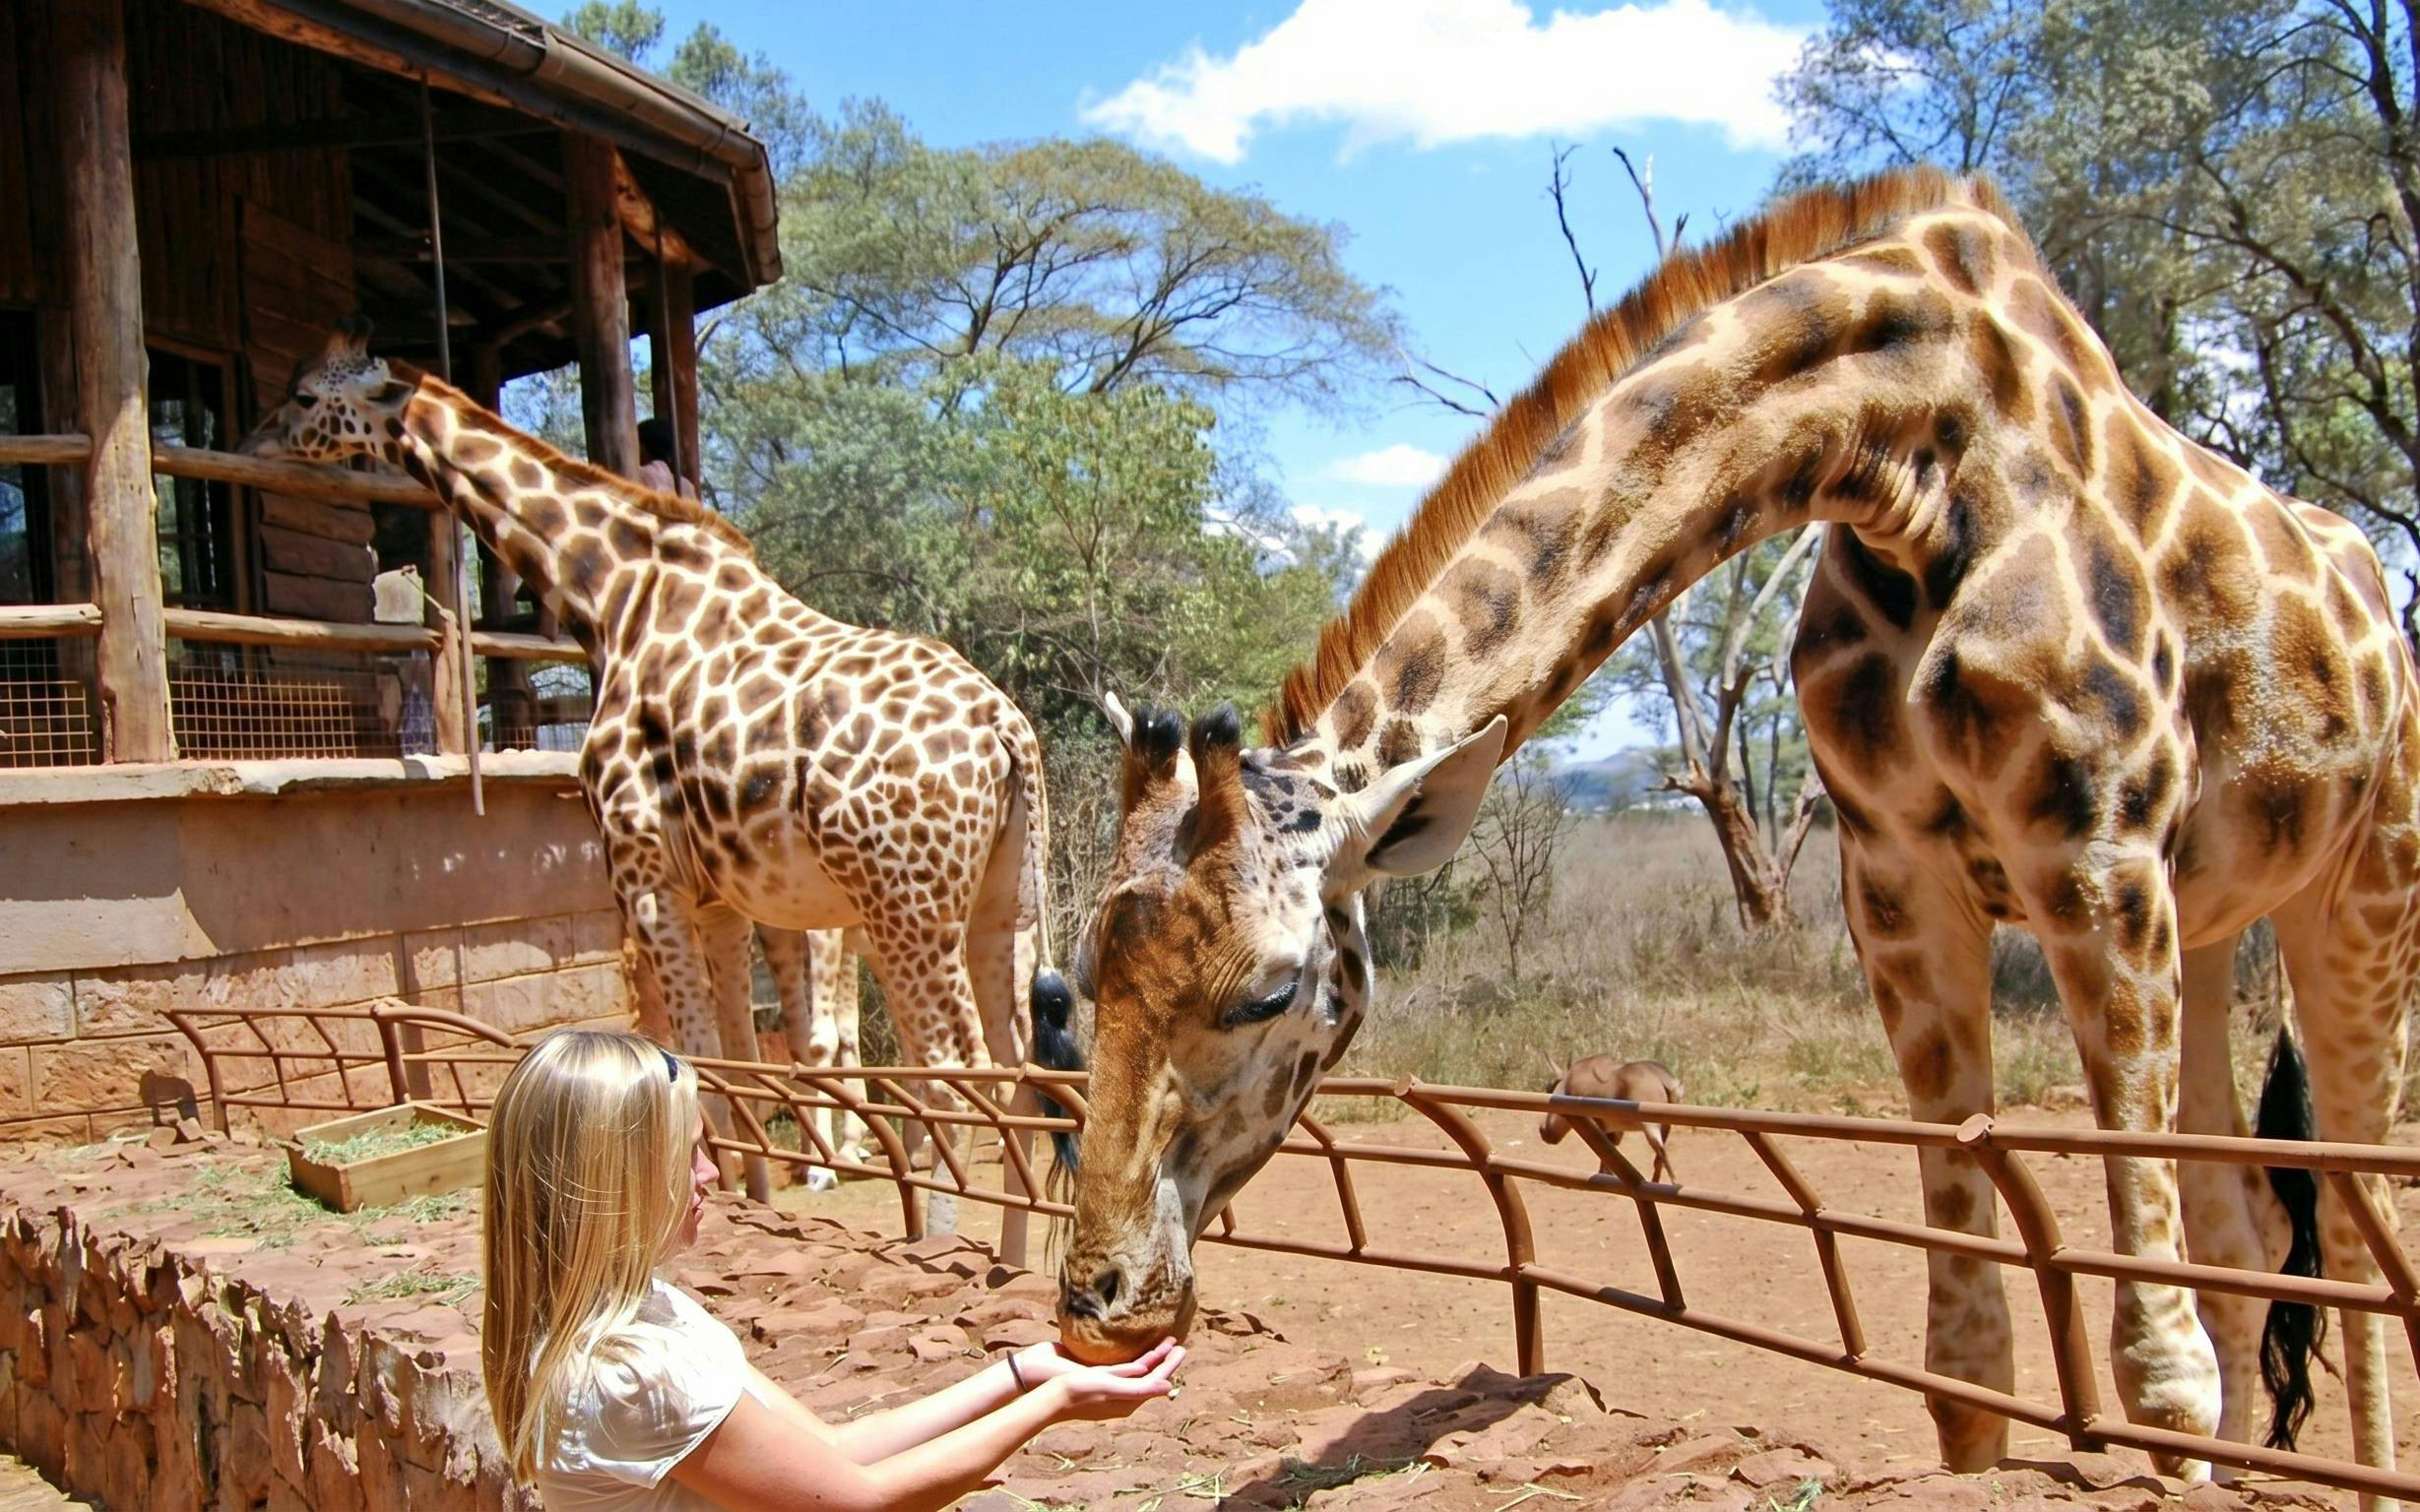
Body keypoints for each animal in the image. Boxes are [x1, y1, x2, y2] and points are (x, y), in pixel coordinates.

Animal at [238, 321, 1063, 1243]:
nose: (253, 441)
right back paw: (1005, 1256)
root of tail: (1006, 731)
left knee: (957, 1068)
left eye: (304, 393)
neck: (610, 596)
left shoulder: (641, 874)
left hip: (904, 903)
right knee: (1023, 1070)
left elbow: (691, 1058)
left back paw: (943, 1242)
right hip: (1000, 899)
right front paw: (752, 1194)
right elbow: (736, 1059)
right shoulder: (721, 899)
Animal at [1041, 169, 2416, 1500]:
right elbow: (1966, 1363)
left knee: (2351, 1230)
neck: (1914, 456)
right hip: (2214, 923)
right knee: (2243, 1212)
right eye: (1086, 978)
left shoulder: (2095, 854)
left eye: (1271, 992)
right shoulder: (1895, 881)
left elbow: (2160, 1369)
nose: (1096, 1305)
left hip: (2359, 896)